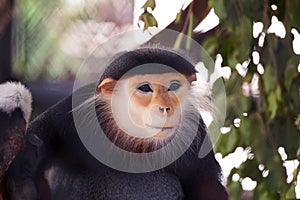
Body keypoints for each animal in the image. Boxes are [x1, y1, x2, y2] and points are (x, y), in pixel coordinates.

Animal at [2, 47, 229, 199]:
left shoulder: (194, 130)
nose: (166, 107)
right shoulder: (72, 112)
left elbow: (205, 183)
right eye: (145, 88)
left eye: (173, 87)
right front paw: (21, 180)